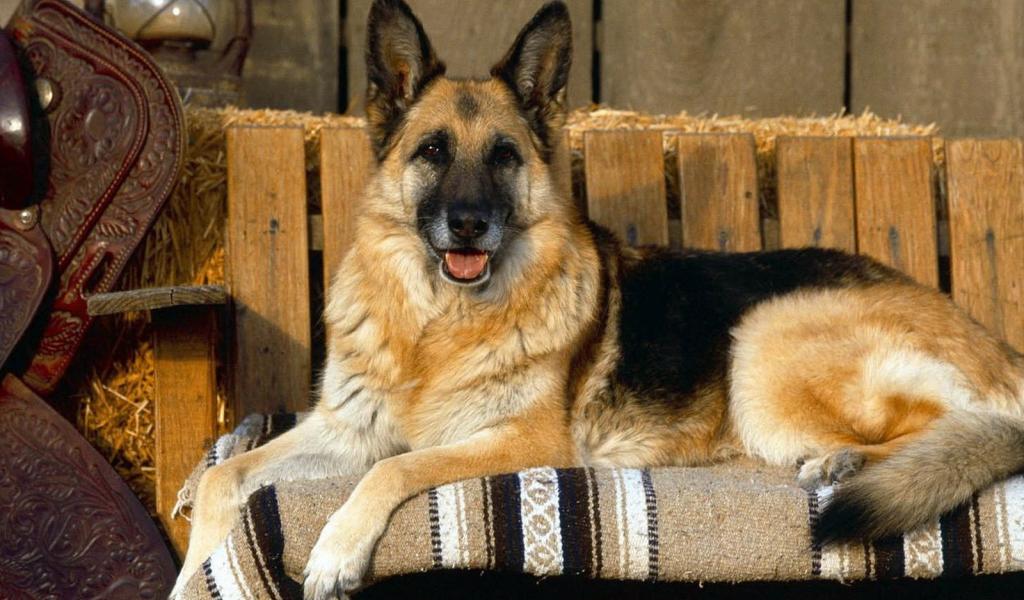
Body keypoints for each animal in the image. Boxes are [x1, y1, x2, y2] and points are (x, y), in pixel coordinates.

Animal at [173, 1, 1024, 598]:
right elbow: (224, 476)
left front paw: (335, 551)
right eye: (434, 152)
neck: (435, 328)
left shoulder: (518, 442)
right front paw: (193, 570)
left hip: (765, 335)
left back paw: (844, 459)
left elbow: (393, 471)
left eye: (504, 157)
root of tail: (993, 344)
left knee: (960, 429)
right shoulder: (345, 428)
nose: (470, 223)